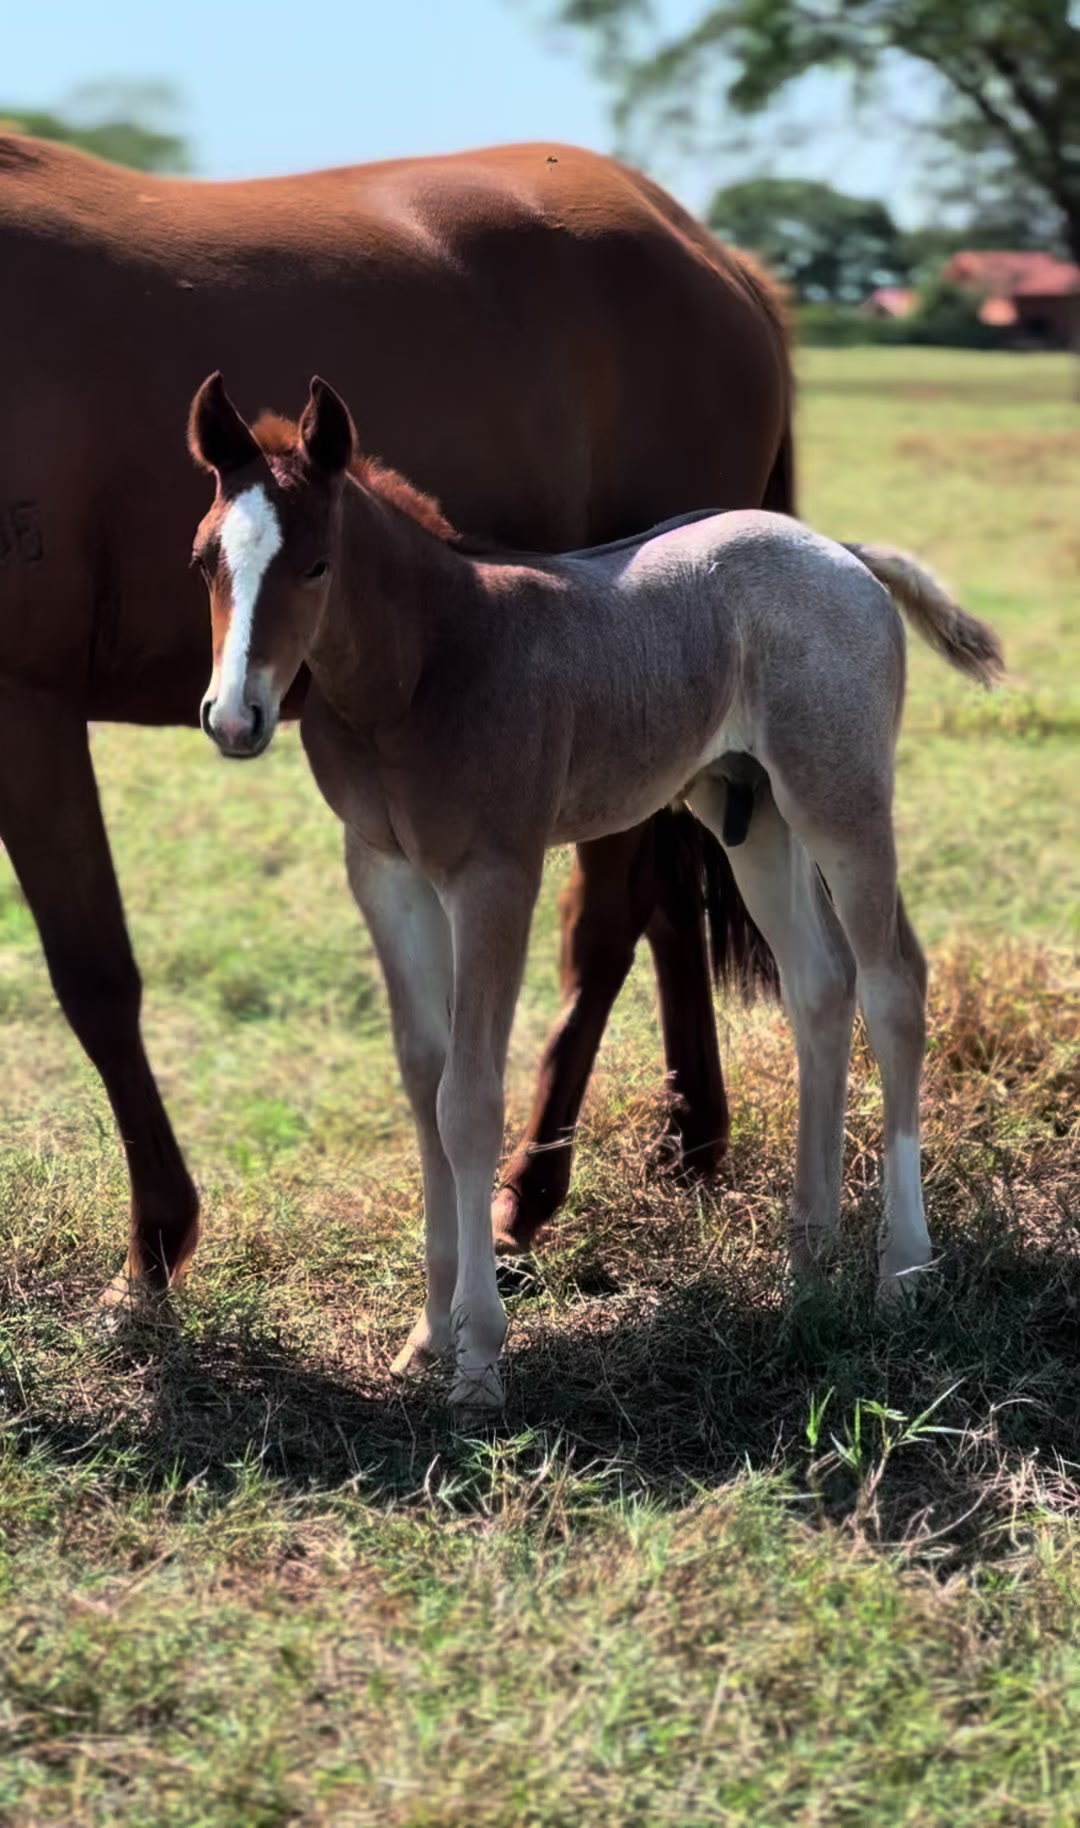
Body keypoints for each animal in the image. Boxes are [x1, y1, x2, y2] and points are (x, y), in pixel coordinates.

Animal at [0, 133, 793, 1299]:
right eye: (199, 562)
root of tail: (712, 254)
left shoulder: (27, 705)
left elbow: (94, 973)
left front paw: (155, 1246)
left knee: (610, 917)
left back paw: (531, 1190)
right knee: (662, 901)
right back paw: (689, 1143)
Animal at [187, 373, 1002, 1409]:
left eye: (319, 566)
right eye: (204, 559)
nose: (234, 718)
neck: (422, 669)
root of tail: (842, 555)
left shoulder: (495, 873)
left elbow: (469, 1097)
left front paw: (480, 1361)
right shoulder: (383, 872)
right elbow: (422, 1078)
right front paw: (426, 1336)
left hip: (839, 796)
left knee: (894, 983)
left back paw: (901, 1272)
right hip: (750, 810)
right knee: (821, 985)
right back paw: (806, 1265)